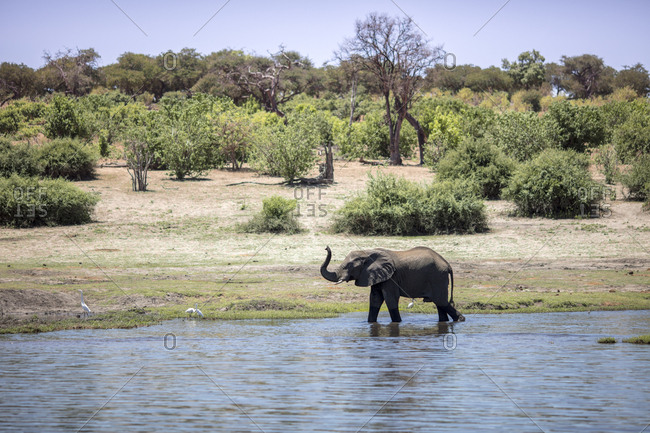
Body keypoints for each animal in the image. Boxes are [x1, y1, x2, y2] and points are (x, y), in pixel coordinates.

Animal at [320, 246, 465, 323]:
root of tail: (447, 264)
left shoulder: (391, 278)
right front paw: (370, 323)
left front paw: (397, 323)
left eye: (348, 266)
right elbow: (375, 299)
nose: (326, 247)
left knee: (441, 301)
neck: (367, 252)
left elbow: (390, 299)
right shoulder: (377, 276)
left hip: (437, 277)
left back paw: (460, 319)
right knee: (440, 304)